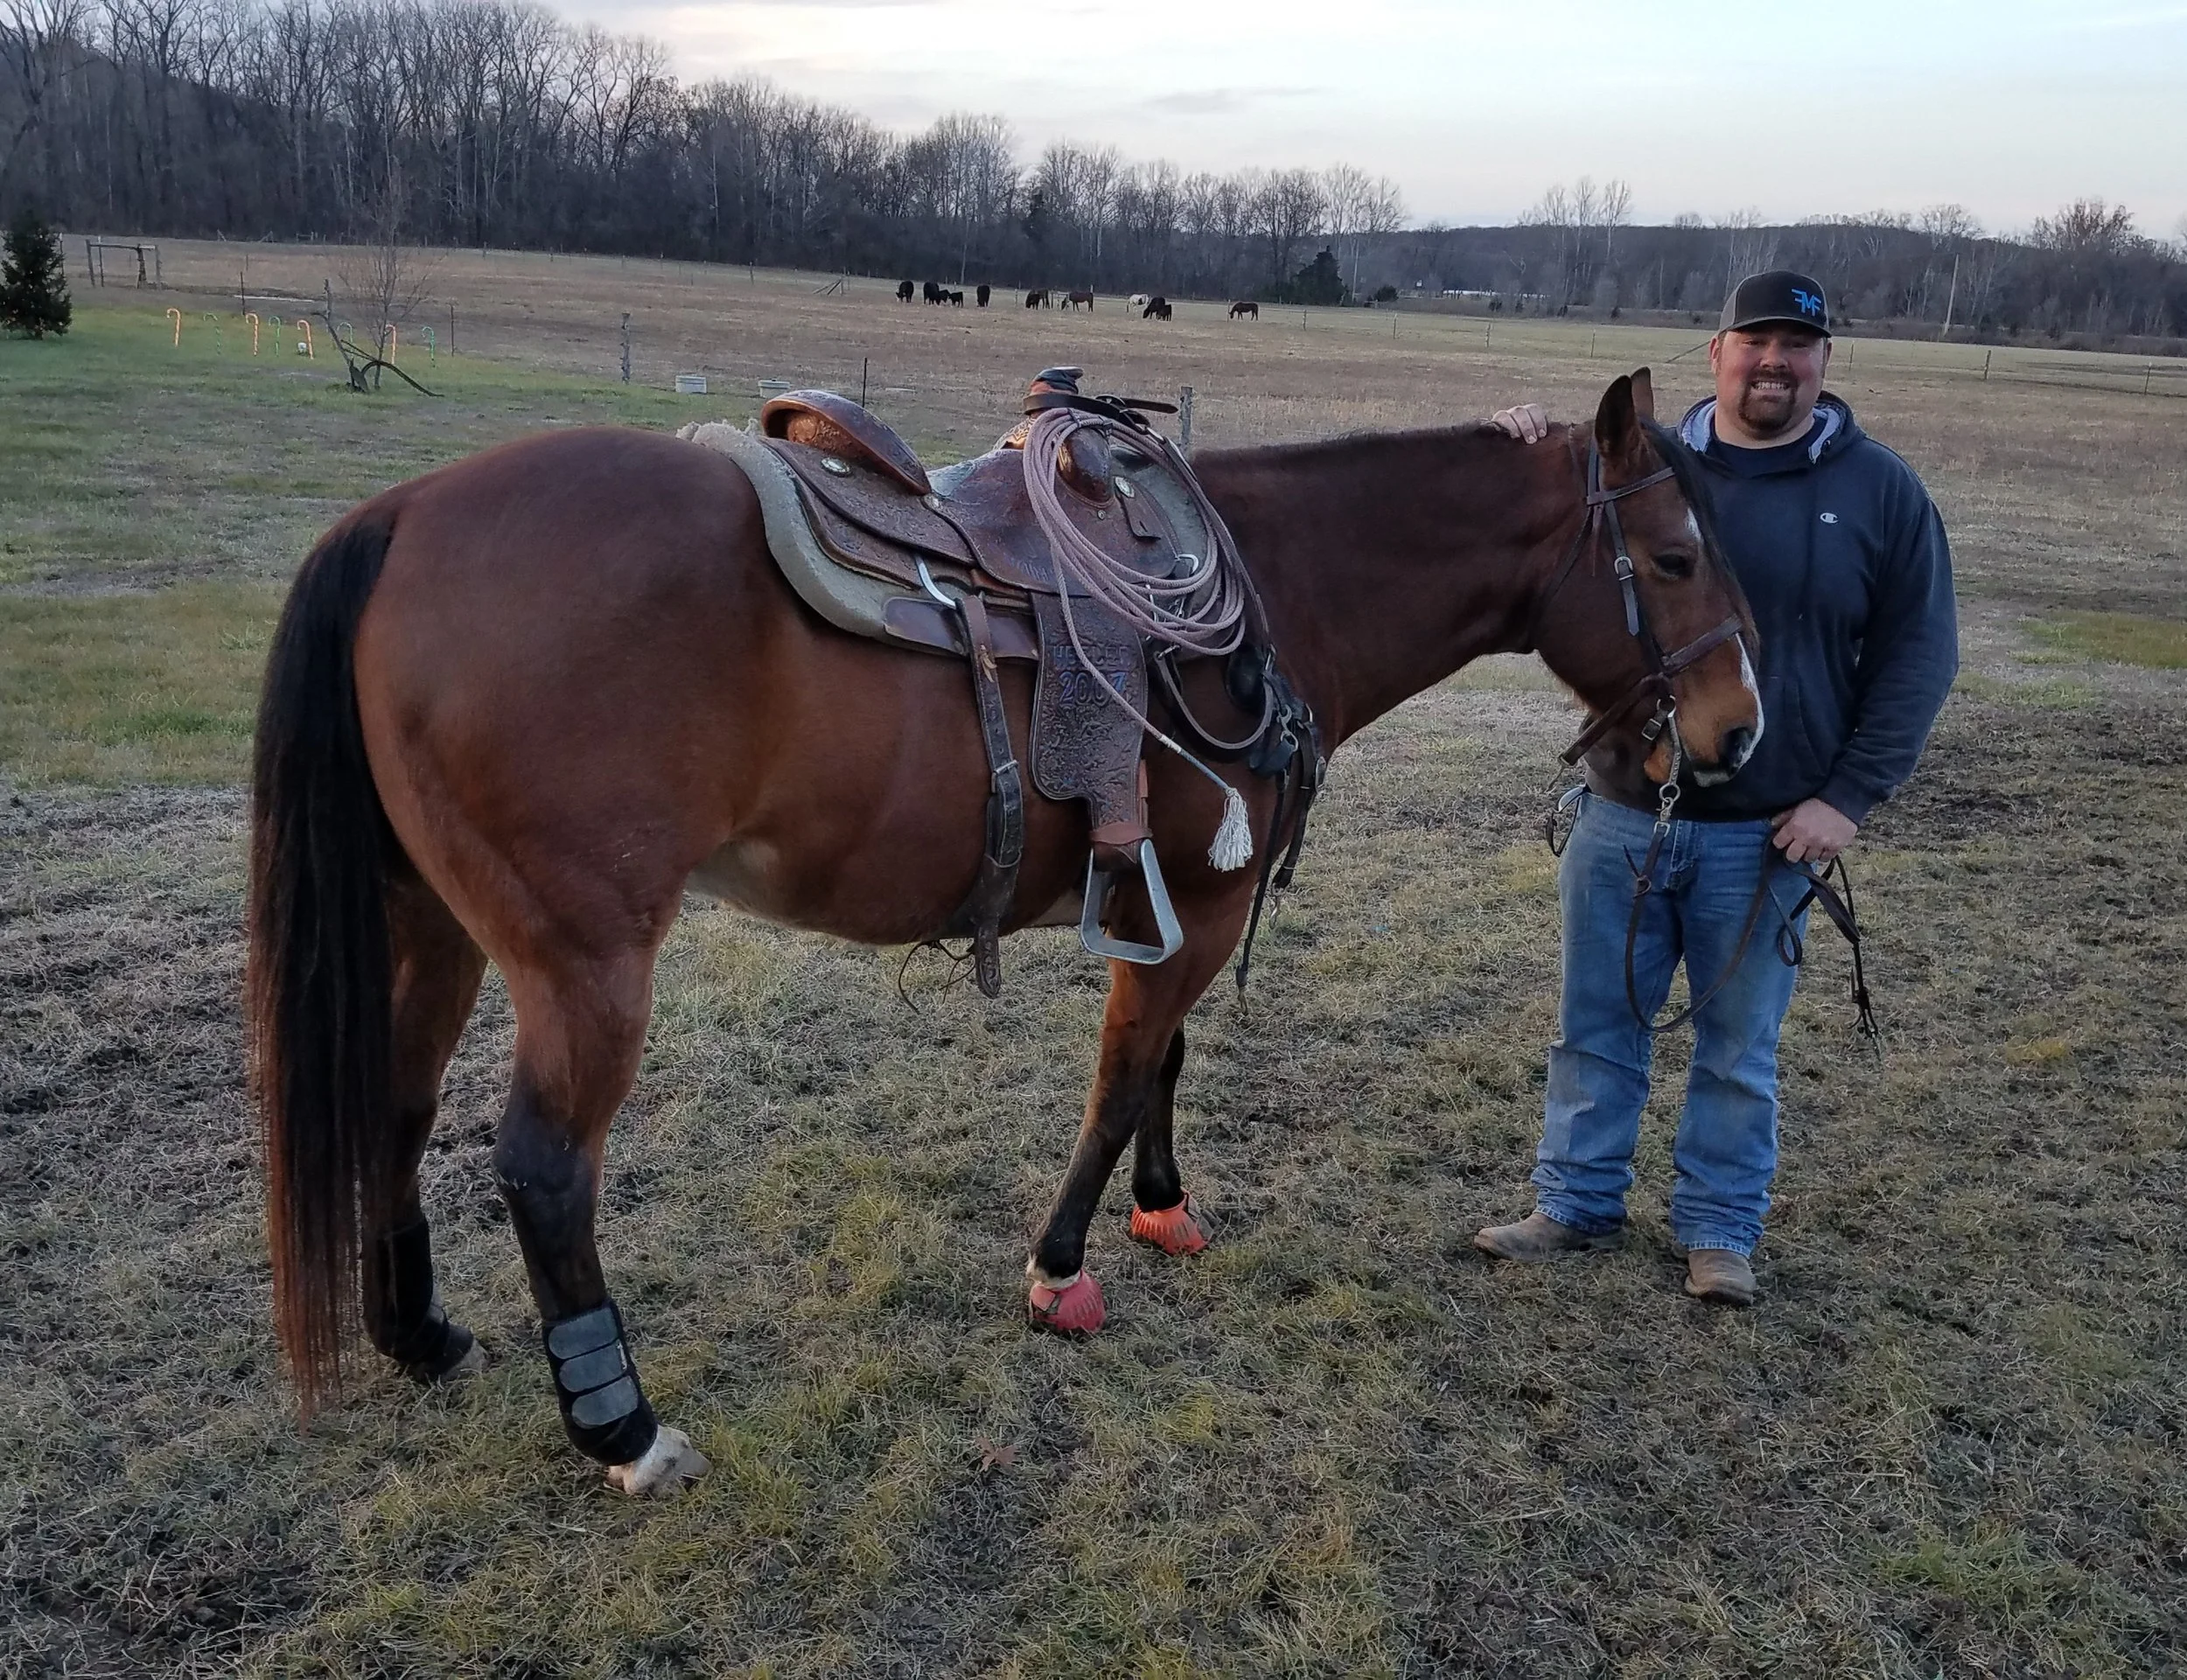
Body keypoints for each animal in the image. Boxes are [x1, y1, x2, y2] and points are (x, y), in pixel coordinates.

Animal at [249, 370, 1759, 1495]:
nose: (1740, 734)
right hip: (584, 962)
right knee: (546, 1168)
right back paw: (623, 1429)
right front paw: (1062, 1268)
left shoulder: (1174, 907)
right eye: (1676, 556)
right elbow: (1121, 1077)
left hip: (432, 924)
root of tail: (400, 518)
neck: (1276, 585)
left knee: (395, 1104)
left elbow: (1166, 1067)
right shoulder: (1193, 904)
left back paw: (418, 1334)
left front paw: (1164, 1207)